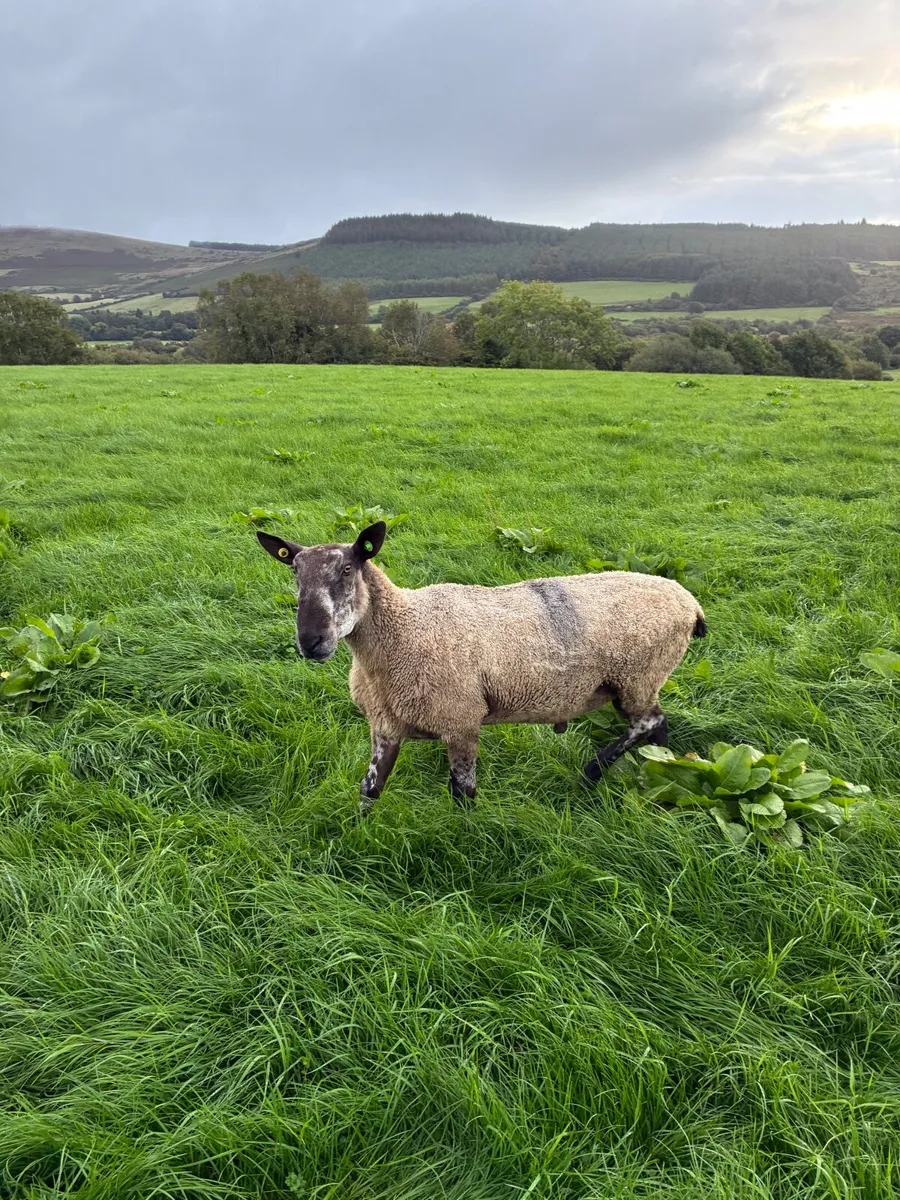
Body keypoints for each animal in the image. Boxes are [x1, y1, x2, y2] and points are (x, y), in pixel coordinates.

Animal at [257, 520, 707, 813]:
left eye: (348, 569)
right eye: (294, 572)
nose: (310, 642)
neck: (404, 628)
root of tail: (688, 601)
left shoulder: (461, 719)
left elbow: (463, 793)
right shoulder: (385, 725)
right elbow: (369, 792)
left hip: (638, 675)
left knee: (648, 722)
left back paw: (592, 772)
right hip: (640, 680)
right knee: (657, 726)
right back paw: (657, 768)